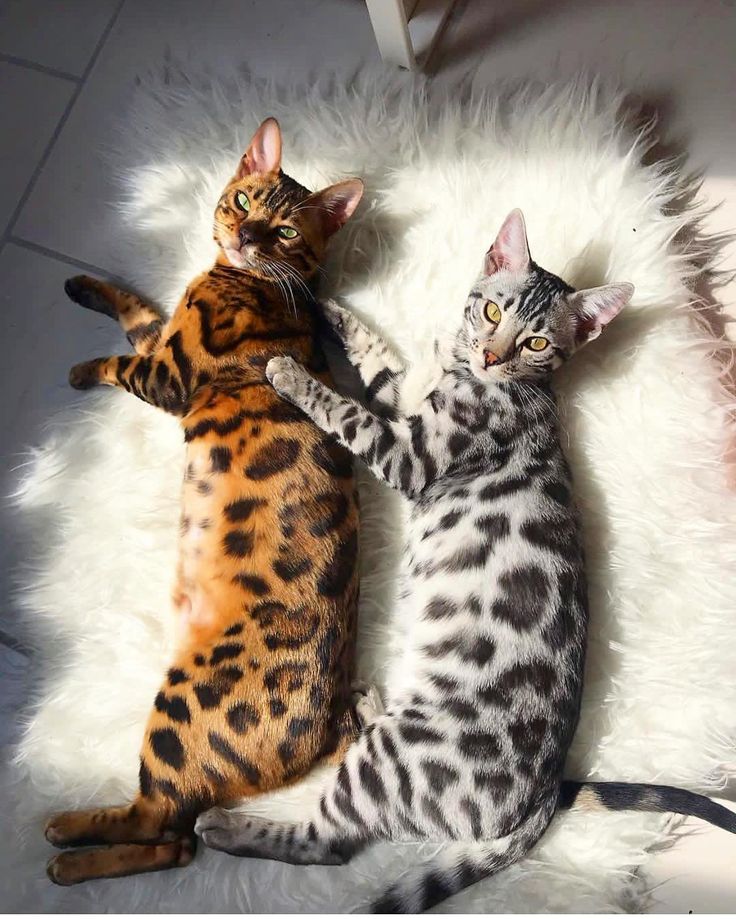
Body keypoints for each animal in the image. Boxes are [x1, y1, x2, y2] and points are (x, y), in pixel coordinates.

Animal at [44, 117, 366, 884]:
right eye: (245, 198)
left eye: (285, 230)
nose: (244, 233)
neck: (241, 278)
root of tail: (332, 718)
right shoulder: (163, 336)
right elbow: (136, 307)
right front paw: (82, 284)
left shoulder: (169, 372)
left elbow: (122, 359)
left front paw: (81, 368)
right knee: (175, 838)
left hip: (183, 702)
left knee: (163, 820)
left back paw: (67, 840)